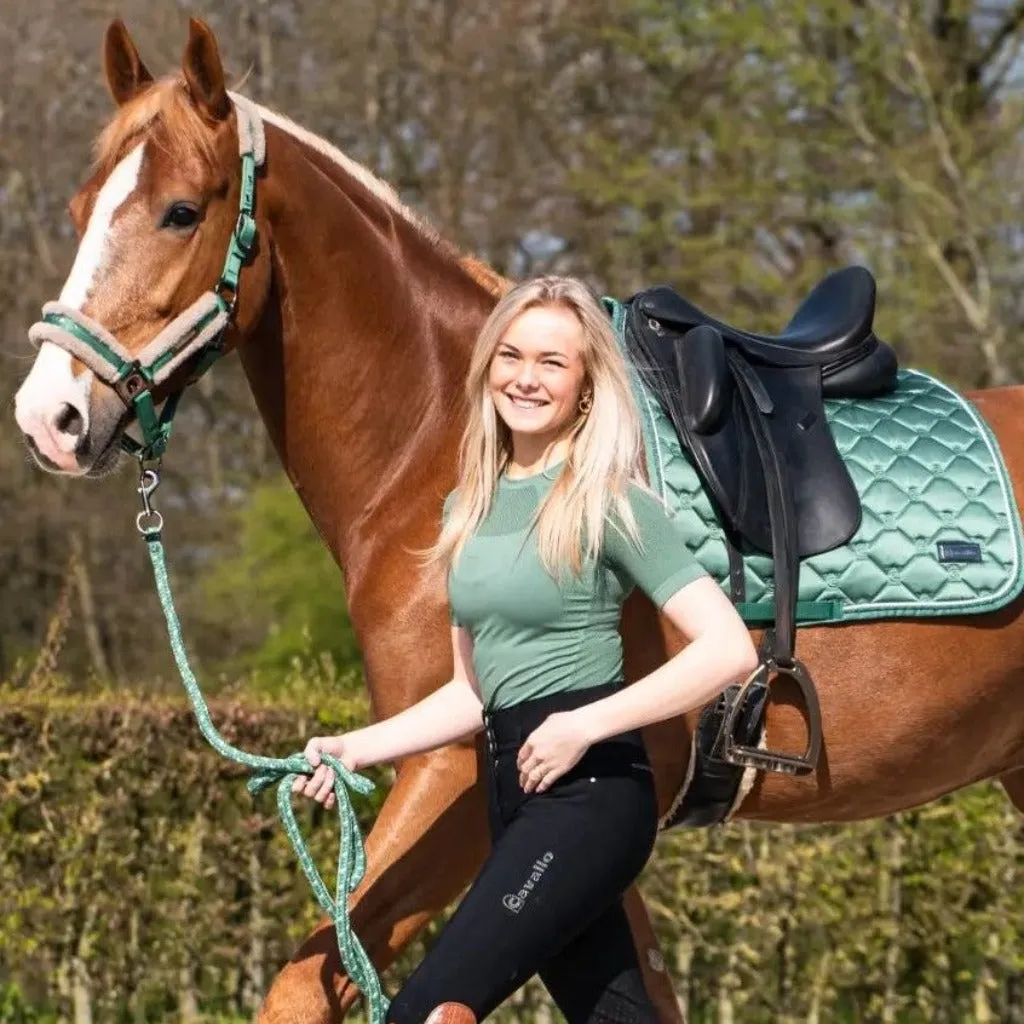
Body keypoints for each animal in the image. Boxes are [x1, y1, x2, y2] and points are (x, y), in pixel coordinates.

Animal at [12, 16, 1024, 1024]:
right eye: (78, 209)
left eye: (182, 211)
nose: (48, 417)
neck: (440, 447)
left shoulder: (454, 774)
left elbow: (309, 983)